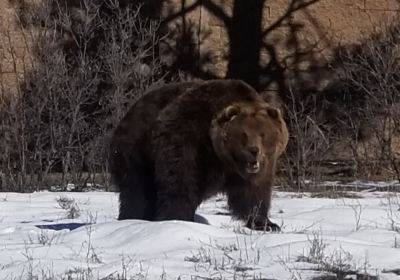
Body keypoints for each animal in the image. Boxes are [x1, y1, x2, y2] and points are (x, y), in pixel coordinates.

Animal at [110, 78, 288, 230]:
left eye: (263, 134)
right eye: (243, 134)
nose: (254, 151)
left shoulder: (257, 169)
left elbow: (254, 192)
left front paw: (267, 224)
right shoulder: (189, 136)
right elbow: (180, 180)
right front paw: (177, 218)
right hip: (137, 150)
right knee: (137, 189)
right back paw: (132, 217)